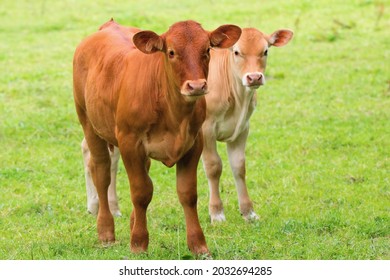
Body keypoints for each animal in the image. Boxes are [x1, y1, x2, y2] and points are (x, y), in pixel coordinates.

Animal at [71, 18, 239, 255]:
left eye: (207, 50)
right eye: (171, 52)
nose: (196, 85)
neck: (173, 114)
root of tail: (108, 26)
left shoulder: (194, 144)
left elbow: (187, 193)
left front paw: (198, 244)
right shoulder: (129, 143)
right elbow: (141, 192)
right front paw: (139, 243)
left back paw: (132, 223)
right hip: (88, 122)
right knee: (102, 174)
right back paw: (106, 232)